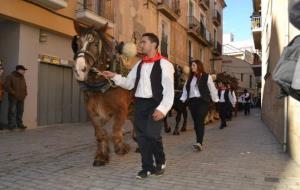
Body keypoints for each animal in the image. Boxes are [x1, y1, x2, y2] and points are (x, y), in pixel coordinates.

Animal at [71, 22, 135, 166]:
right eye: (77, 43)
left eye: (95, 44)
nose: (80, 70)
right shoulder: (92, 111)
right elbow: (100, 133)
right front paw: (101, 155)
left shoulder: (121, 110)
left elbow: (116, 131)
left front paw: (122, 148)